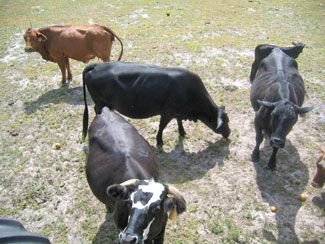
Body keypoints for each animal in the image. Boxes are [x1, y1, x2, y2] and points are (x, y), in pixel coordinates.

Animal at [82, 63, 232, 147]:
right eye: (224, 123)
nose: (229, 133)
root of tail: (96, 65)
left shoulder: (178, 111)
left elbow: (179, 121)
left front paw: (182, 132)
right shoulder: (167, 113)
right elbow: (162, 127)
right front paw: (159, 141)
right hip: (100, 101)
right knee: (97, 110)